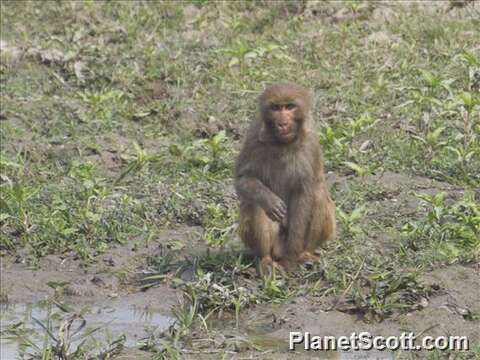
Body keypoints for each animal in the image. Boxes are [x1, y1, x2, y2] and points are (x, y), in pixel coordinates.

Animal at [234, 83, 336, 272]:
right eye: (275, 108)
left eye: (289, 106)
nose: (282, 123)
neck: (284, 144)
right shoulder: (254, 136)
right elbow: (243, 179)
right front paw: (269, 200)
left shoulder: (310, 143)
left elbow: (304, 194)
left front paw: (290, 260)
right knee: (254, 204)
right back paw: (265, 259)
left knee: (318, 196)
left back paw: (303, 255)